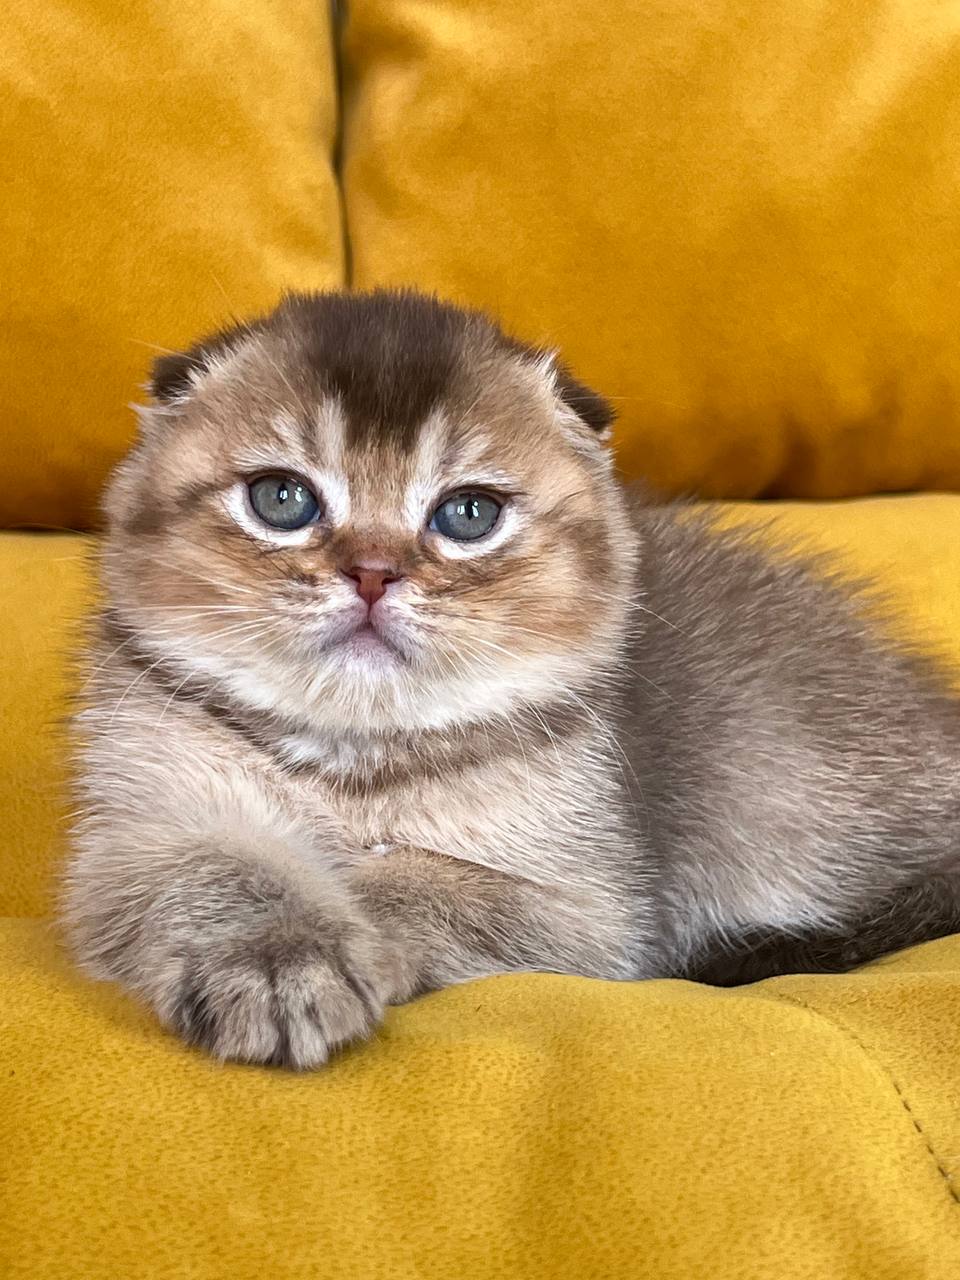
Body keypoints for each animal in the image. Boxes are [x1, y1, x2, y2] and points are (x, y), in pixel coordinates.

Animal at [63, 288, 960, 1068]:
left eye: (468, 515)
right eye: (281, 499)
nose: (373, 574)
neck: (358, 764)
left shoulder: (595, 913)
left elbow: (418, 879)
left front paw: (349, 920)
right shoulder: (135, 839)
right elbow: (222, 871)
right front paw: (279, 958)